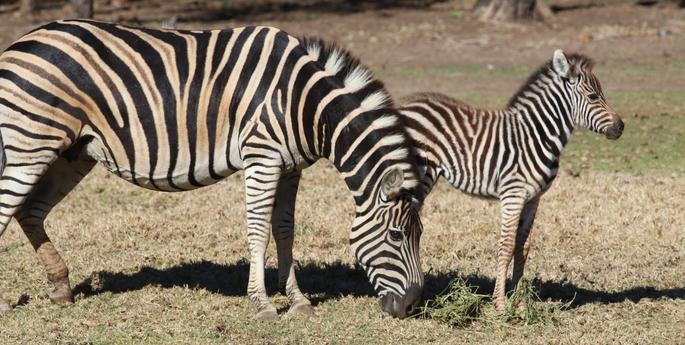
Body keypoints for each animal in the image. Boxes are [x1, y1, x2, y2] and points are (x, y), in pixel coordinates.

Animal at [0, 20, 424, 318]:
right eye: (397, 236)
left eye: (418, 235)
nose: (412, 307)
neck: (304, 103)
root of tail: (23, 39)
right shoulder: (262, 158)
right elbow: (258, 232)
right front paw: (262, 304)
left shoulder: (291, 168)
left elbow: (285, 230)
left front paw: (298, 300)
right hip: (29, 144)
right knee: (9, 209)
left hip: (72, 152)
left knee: (29, 211)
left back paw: (61, 288)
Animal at [398, 50, 624, 310]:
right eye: (593, 96)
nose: (621, 127)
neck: (537, 135)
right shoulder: (513, 194)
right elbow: (505, 246)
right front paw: (500, 305)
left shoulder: (533, 198)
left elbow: (522, 247)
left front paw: (520, 304)